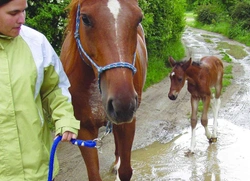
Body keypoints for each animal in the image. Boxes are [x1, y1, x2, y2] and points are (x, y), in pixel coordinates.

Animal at [59, 0, 147, 181]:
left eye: (139, 19)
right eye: (85, 19)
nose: (123, 104)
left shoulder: (128, 123)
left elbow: (126, 171)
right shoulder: (84, 130)